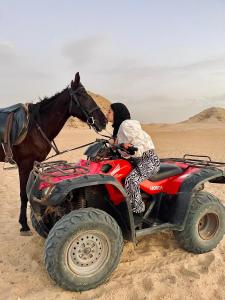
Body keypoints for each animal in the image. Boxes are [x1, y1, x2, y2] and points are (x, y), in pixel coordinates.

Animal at [0, 72, 107, 234]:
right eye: (82, 94)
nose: (104, 121)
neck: (34, 127)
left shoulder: (34, 165)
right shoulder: (25, 164)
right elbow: (24, 194)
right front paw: (24, 225)